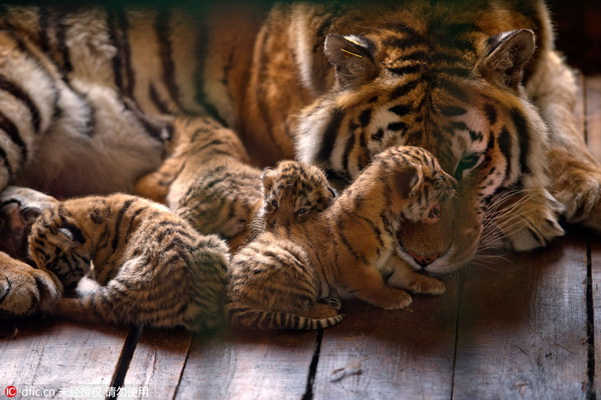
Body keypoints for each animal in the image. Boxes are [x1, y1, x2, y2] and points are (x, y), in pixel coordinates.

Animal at [0, 0, 596, 322]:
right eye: (380, 161)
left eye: (469, 163)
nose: (423, 260)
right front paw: (533, 214)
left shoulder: (550, 64)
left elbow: (561, 129)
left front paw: (569, 197)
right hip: (17, 90)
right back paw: (22, 281)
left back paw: (29, 214)